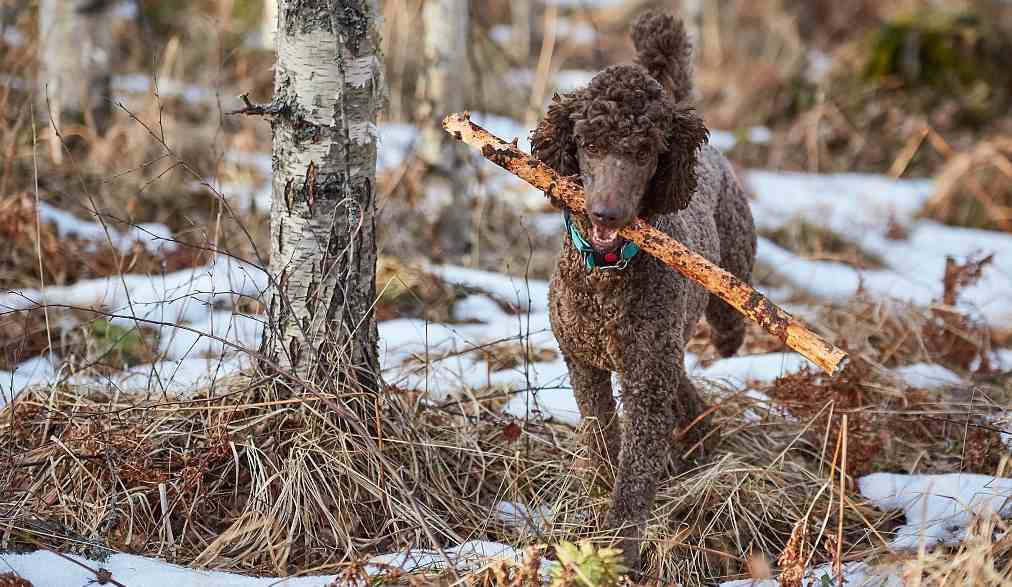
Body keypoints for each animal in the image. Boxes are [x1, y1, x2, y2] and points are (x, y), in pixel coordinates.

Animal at [534, 10, 756, 566]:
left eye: (644, 153)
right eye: (590, 145)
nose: (606, 214)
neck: (605, 273)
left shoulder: (646, 375)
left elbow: (636, 470)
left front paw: (620, 547)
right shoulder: (583, 361)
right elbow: (600, 435)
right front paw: (598, 485)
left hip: (727, 280)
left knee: (727, 323)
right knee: (683, 383)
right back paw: (698, 435)